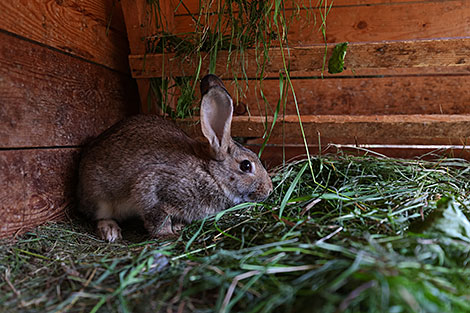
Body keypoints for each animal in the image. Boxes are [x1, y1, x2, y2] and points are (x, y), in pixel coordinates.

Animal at [78, 73, 272, 241]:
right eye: (246, 166)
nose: (269, 190)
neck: (210, 174)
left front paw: (178, 226)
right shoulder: (152, 187)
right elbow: (157, 216)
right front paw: (167, 234)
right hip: (100, 198)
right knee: (99, 216)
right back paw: (110, 231)